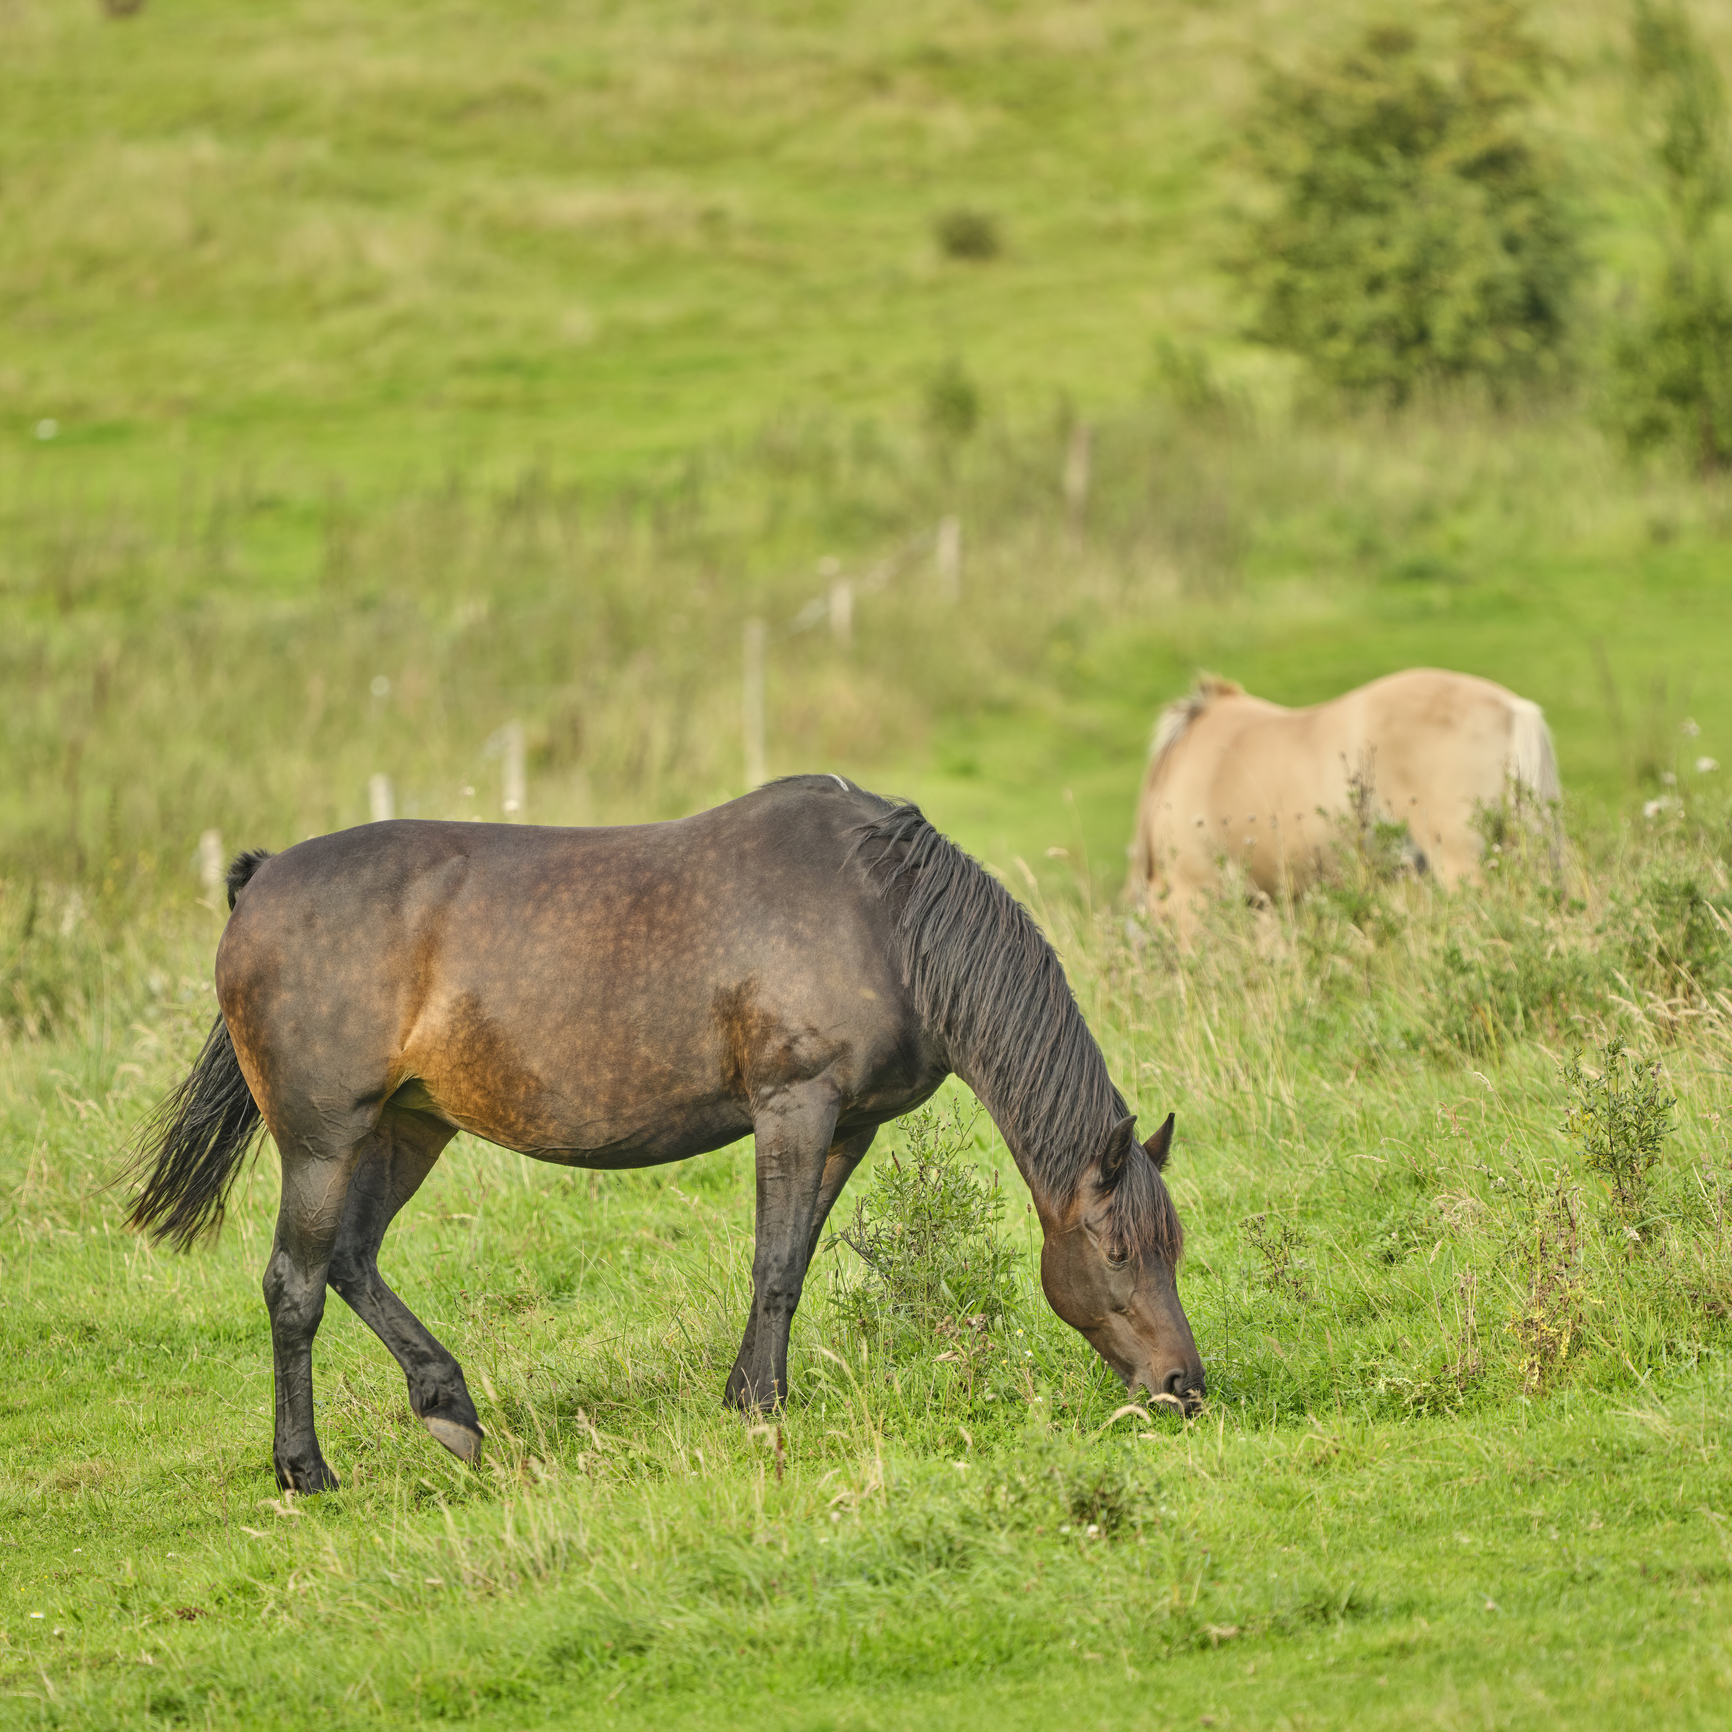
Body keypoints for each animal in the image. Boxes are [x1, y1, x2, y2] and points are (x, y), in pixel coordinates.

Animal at [128, 776, 1204, 1493]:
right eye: (1116, 1249)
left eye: (1173, 1246)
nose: (1183, 1386)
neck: (884, 915)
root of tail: (262, 878)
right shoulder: (794, 1106)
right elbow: (775, 1262)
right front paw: (763, 1407)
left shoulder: (845, 1126)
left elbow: (794, 1258)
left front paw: (746, 1392)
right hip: (322, 1141)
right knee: (295, 1284)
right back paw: (303, 1469)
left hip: (408, 1126)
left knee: (351, 1259)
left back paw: (449, 1410)